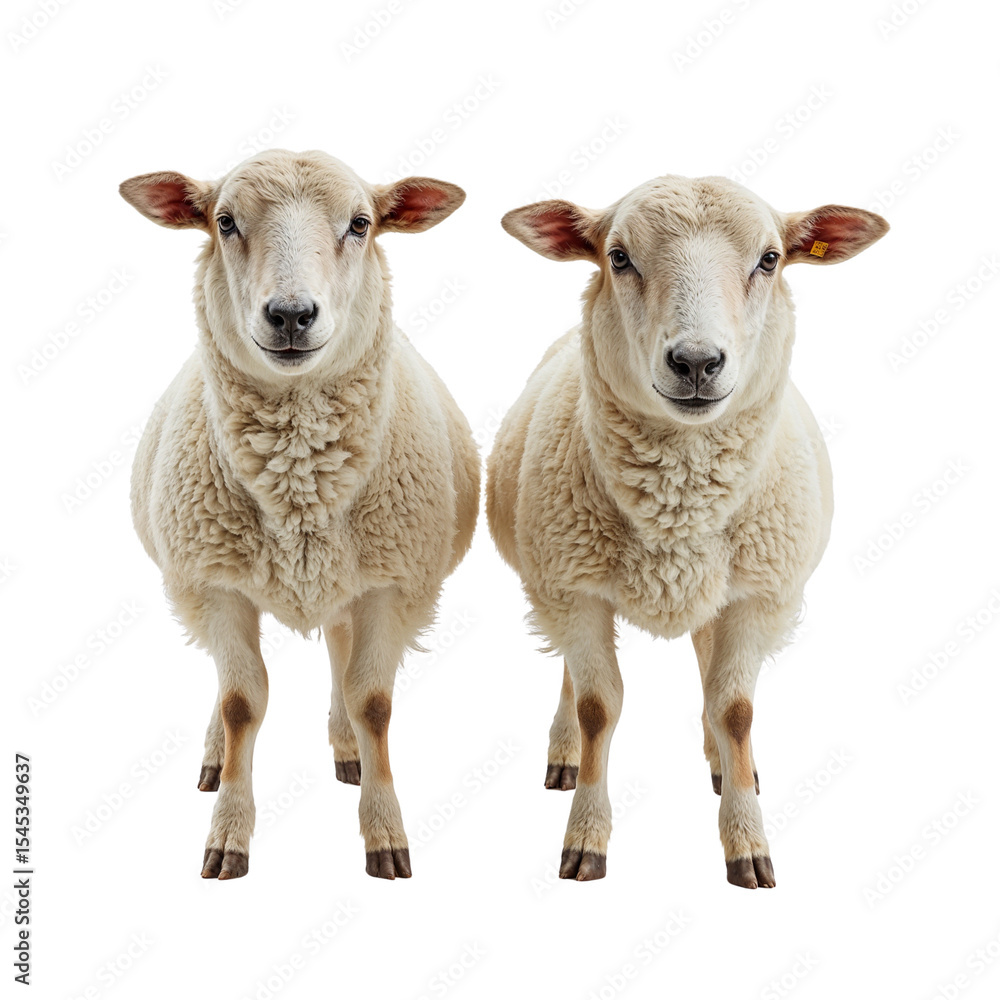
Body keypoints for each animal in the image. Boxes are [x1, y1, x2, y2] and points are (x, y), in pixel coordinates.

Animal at [120, 149, 479, 880]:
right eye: (225, 222)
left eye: (361, 224)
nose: (290, 315)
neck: (299, 487)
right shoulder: (216, 585)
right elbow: (241, 702)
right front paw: (227, 833)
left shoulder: (389, 586)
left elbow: (373, 701)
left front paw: (385, 831)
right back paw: (214, 758)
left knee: (341, 656)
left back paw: (346, 748)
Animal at [486, 176, 888, 887]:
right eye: (618, 257)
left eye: (770, 259)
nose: (696, 362)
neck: (680, 507)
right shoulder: (573, 589)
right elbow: (597, 706)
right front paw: (585, 837)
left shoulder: (758, 598)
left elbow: (736, 708)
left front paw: (747, 837)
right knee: (572, 673)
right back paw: (567, 753)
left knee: (711, 675)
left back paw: (725, 761)